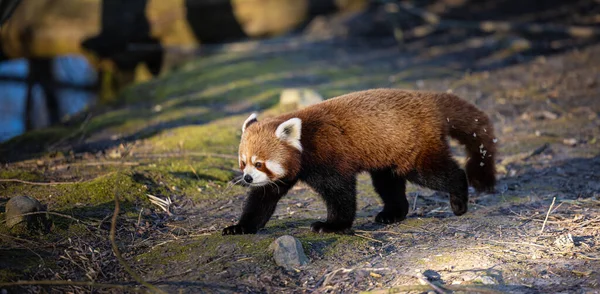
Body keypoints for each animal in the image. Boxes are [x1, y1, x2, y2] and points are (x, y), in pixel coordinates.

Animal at [223, 88, 494, 235]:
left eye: (260, 163)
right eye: (243, 163)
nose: (248, 178)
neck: (304, 143)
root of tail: (428, 100)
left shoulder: (329, 156)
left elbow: (340, 194)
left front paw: (331, 225)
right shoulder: (282, 176)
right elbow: (262, 200)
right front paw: (240, 227)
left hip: (416, 148)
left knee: (438, 173)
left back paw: (459, 201)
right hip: (389, 155)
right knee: (387, 184)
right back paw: (392, 213)